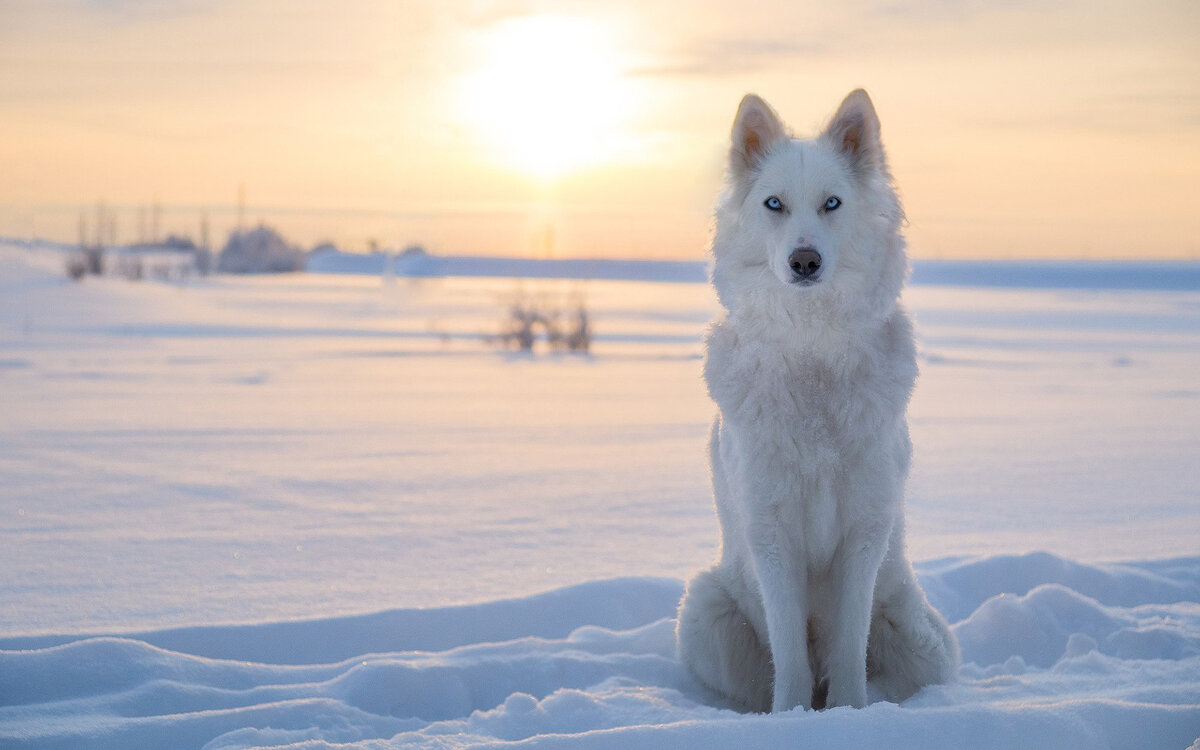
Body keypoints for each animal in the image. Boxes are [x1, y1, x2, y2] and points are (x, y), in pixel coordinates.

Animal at [681, 90, 960, 710]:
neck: (812, 355)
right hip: (705, 613)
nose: (804, 261)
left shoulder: (864, 532)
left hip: (920, 637)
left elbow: (850, 644)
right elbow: (789, 653)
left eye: (832, 203)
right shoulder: (771, 533)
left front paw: (849, 713)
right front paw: (791, 716)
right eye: (774, 204)